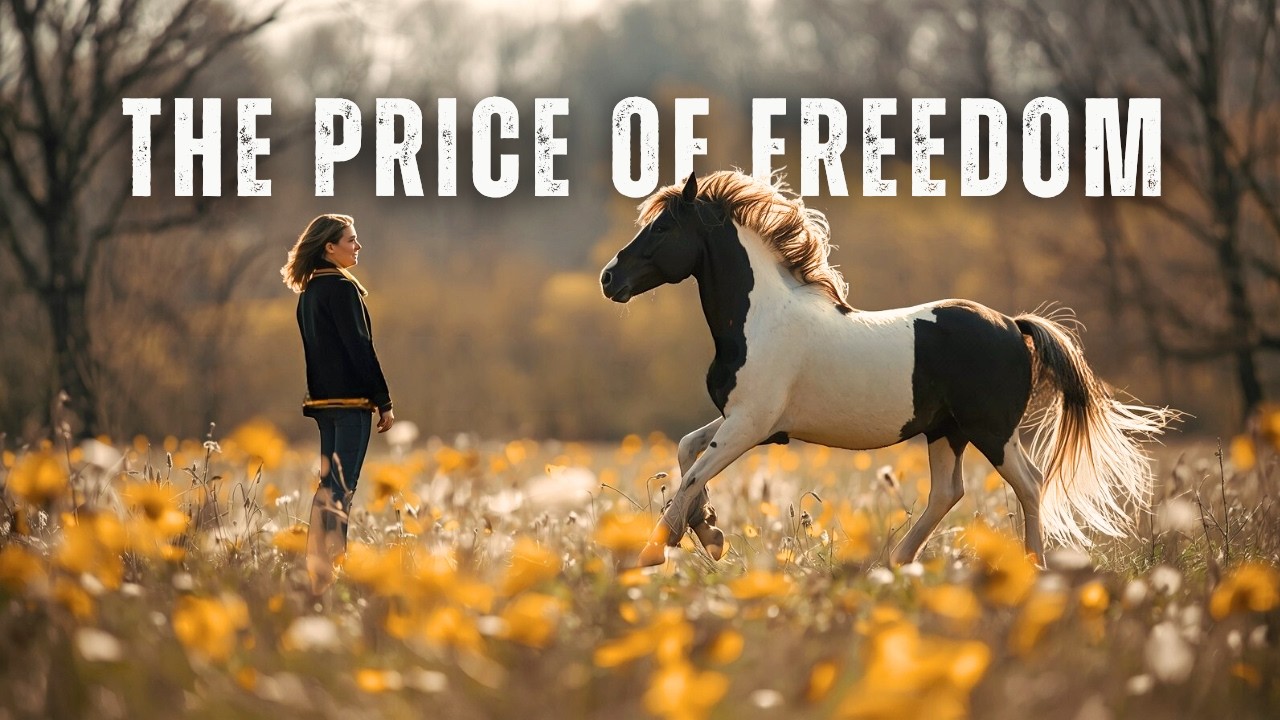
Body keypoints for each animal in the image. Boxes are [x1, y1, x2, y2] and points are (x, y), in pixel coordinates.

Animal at [599, 170, 1175, 568]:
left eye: (664, 226)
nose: (609, 278)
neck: (759, 319)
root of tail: (1013, 324)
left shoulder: (750, 425)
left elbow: (694, 471)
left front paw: (656, 550)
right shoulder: (750, 422)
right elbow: (686, 452)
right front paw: (710, 533)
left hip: (990, 431)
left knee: (1030, 486)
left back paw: (1034, 569)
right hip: (946, 432)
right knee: (948, 493)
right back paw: (898, 563)